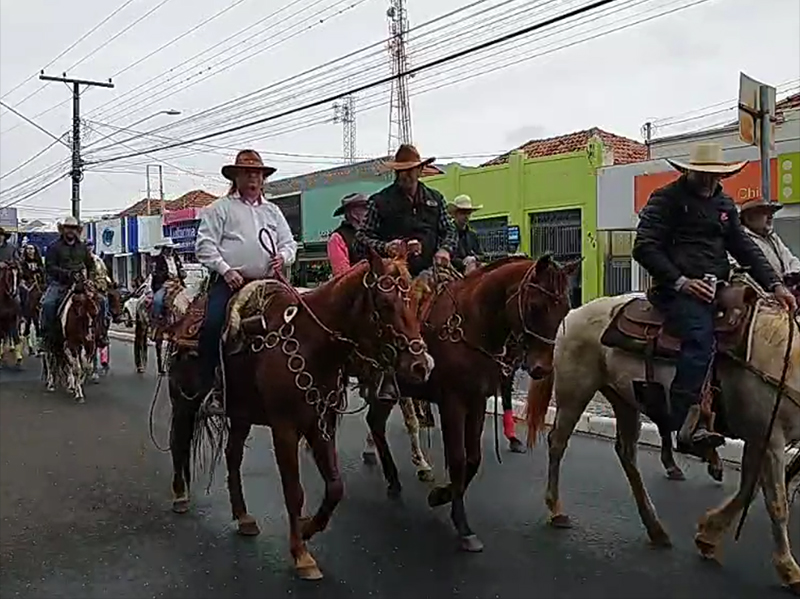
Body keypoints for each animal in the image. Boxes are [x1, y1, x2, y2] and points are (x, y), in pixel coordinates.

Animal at [165, 246, 434, 580]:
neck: (312, 345)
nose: (421, 365)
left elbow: (335, 487)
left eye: (413, 300)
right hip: (184, 402)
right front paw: (301, 554)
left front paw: (307, 529)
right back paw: (180, 495)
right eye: (384, 304)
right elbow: (294, 490)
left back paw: (243, 516)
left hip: (240, 414)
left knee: (232, 456)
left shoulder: (321, 424)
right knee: (178, 442)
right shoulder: (285, 429)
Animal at [366, 255, 580, 552]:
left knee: (374, 422)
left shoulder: (477, 400)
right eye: (535, 306)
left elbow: (474, 459)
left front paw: (440, 495)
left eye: (565, 309)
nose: (541, 369)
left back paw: (394, 478)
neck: (472, 325)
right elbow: (457, 459)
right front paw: (462, 526)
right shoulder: (452, 404)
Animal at [532, 290, 800, 592]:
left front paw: (708, 535)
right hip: (575, 393)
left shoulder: (757, 439)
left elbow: (748, 491)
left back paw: (655, 528)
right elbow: (777, 504)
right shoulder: (770, 439)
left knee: (626, 453)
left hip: (624, 399)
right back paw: (556, 510)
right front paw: (789, 570)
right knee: (557, 443)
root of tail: (573, 313)